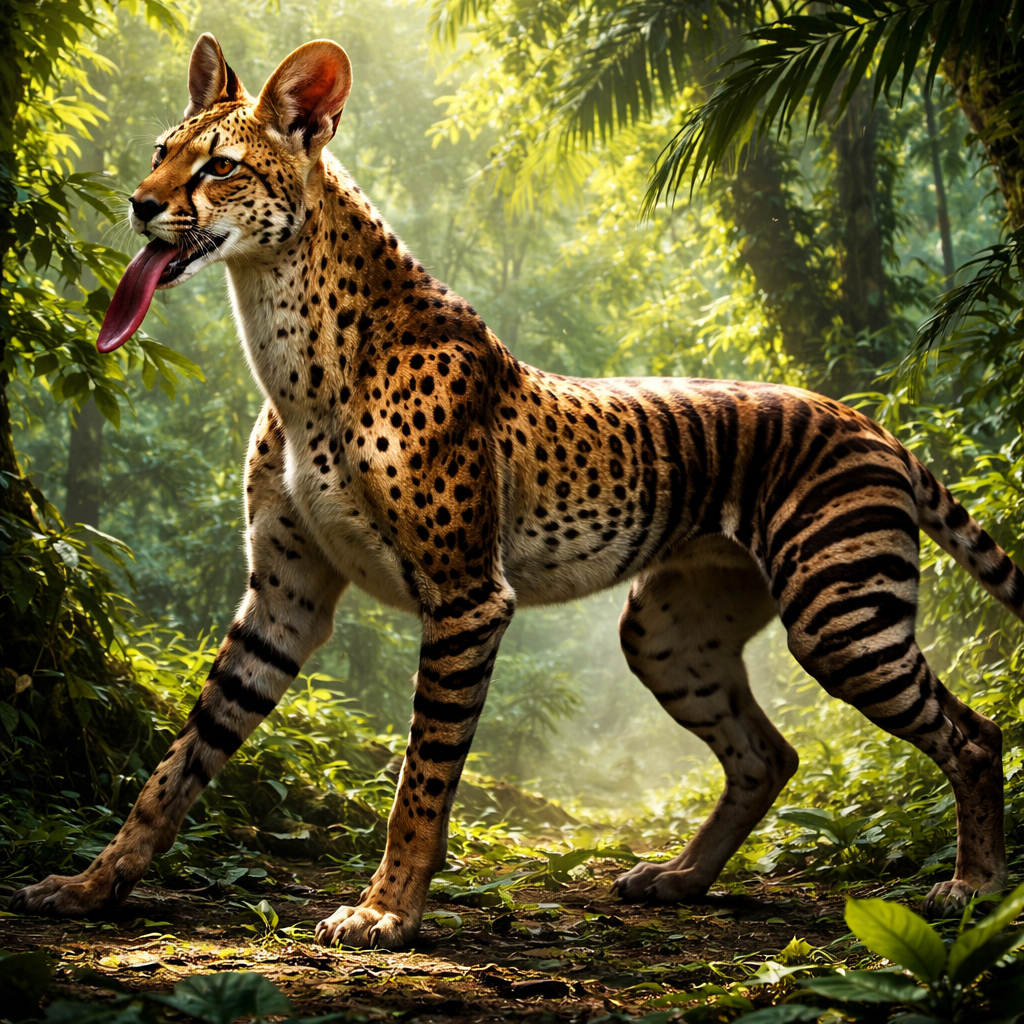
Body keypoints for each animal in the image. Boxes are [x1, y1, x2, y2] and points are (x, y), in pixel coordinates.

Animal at [11, 34, 1020, 949]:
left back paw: (972, 889)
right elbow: (177, 763)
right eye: (160, 150)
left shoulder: (466, 598)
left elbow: (420, 778)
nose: (141, 204)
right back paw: (680, 878)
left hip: (840, 616)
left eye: (218, 166)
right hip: (669, 635)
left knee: (974, 735)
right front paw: (92, 885)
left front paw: (385, 912)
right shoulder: (283, 598)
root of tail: (870, 420)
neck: (287, 339)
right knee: (768, 754)